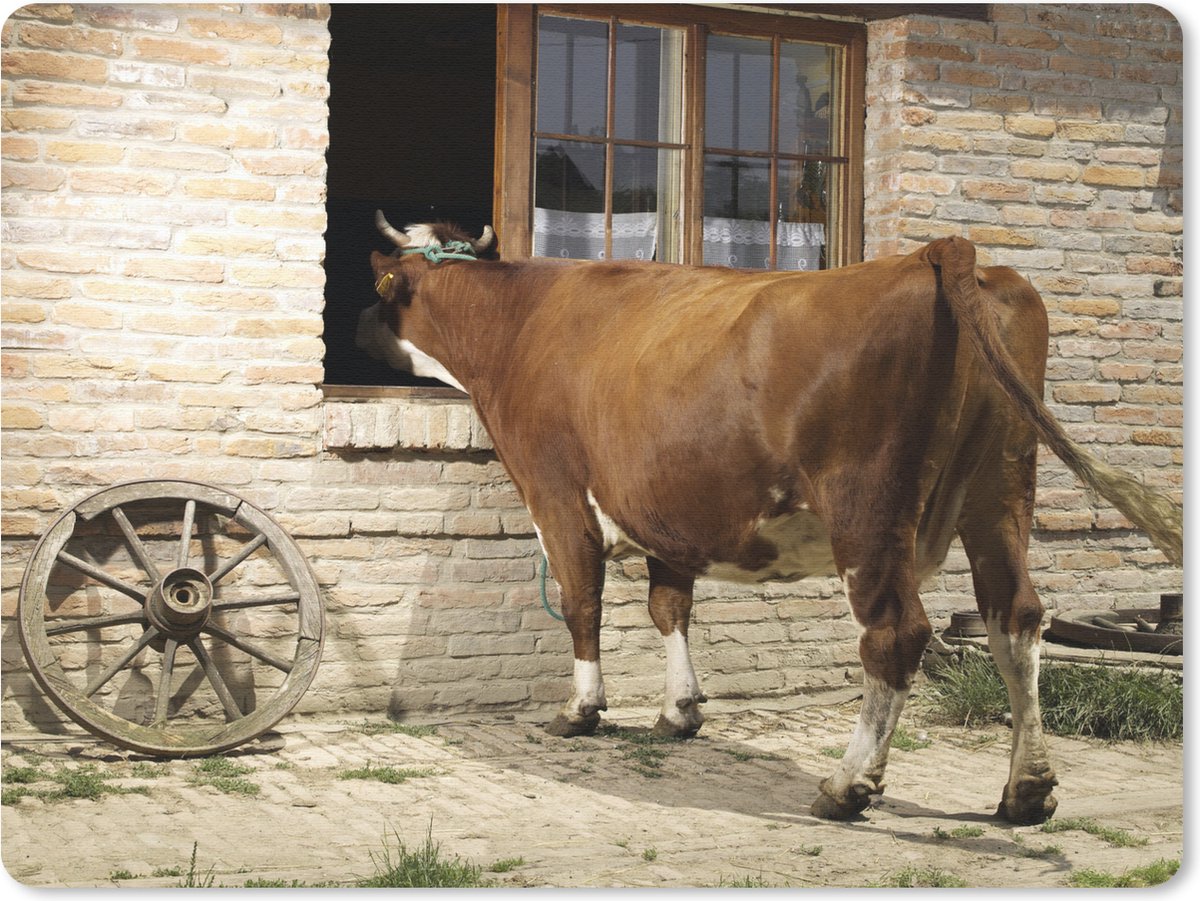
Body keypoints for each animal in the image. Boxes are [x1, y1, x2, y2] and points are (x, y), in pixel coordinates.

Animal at [357, 212, 1182, 825]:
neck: (518, 322)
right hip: (1000, 490)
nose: (358, 330)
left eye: (383, 290)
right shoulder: (667, 506)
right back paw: (1026, 789)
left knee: (895, 635)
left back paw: (848, 785)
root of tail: (938, 253)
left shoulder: (556, 492)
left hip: (868, 508)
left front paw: (580, 708)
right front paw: (680, 710)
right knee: (1017, 620)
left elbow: (581, 601)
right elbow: (669, 606)